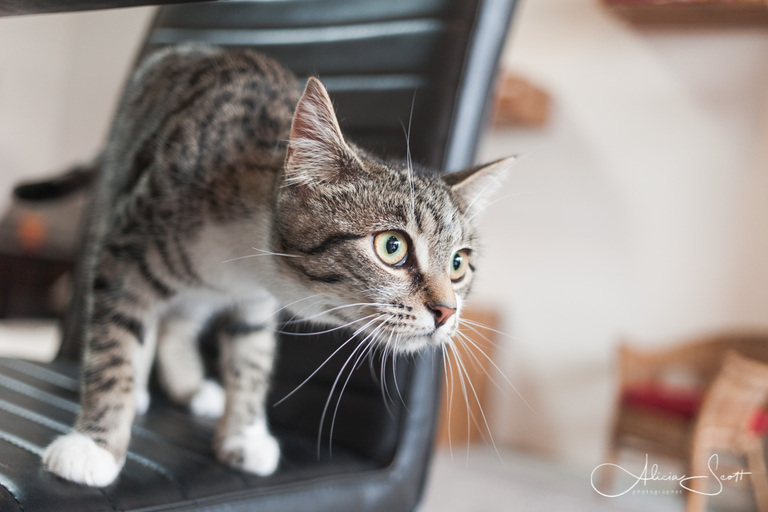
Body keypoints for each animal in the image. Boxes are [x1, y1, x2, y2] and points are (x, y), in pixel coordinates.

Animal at [39, 42, 512, 486]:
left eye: (458, 264)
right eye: (392, 246)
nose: (447, 311)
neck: (238, 259)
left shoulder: (254, 301)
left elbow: (251, 358)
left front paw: (245, 434)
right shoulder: (127, 247)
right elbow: (116, 343)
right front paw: (94, 445)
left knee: (181, 320)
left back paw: (190, 384)